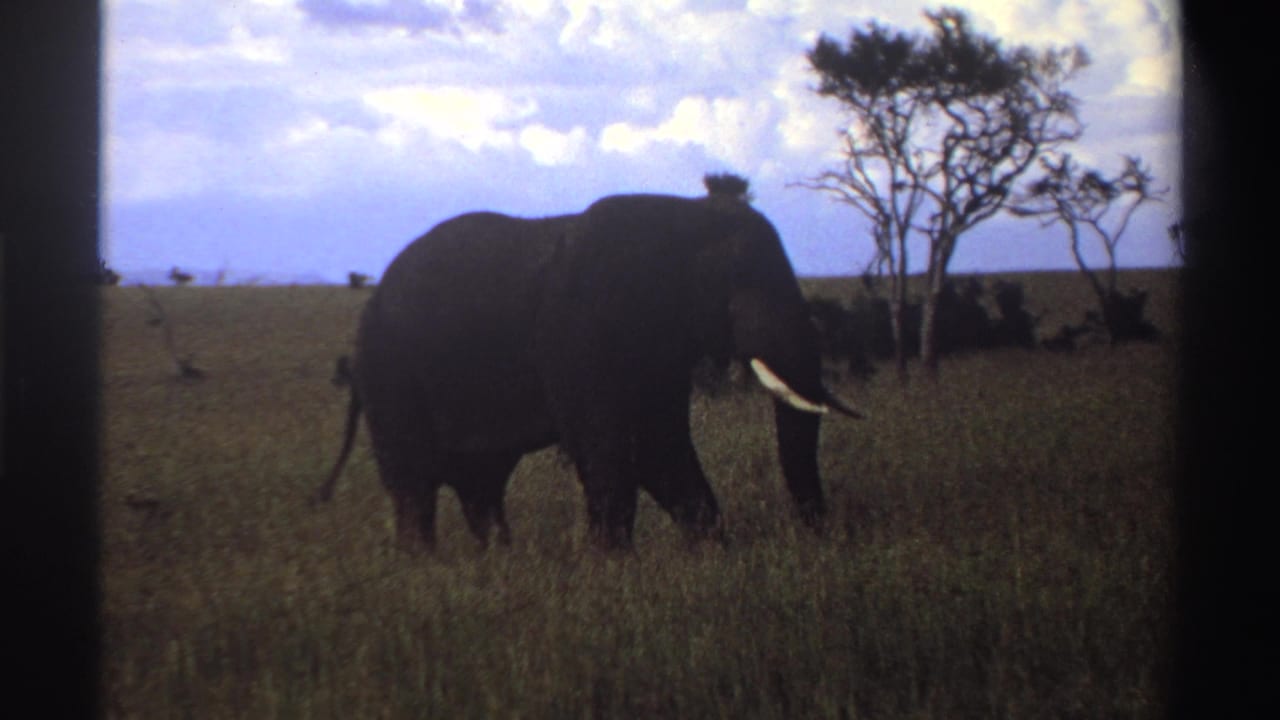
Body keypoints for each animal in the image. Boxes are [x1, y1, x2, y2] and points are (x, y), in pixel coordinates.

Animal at [314, 192, 862, 550]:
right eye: (739, 280)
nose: (822, 535)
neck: (684, 216)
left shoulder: (657, 349)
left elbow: (660, 446)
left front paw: (711, 553)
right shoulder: (578, 328)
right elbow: (612, 446)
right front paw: (612, 569)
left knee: (480, 486)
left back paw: (497, 563)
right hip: (390, 374)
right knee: (416, 486)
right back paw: (428, 570)